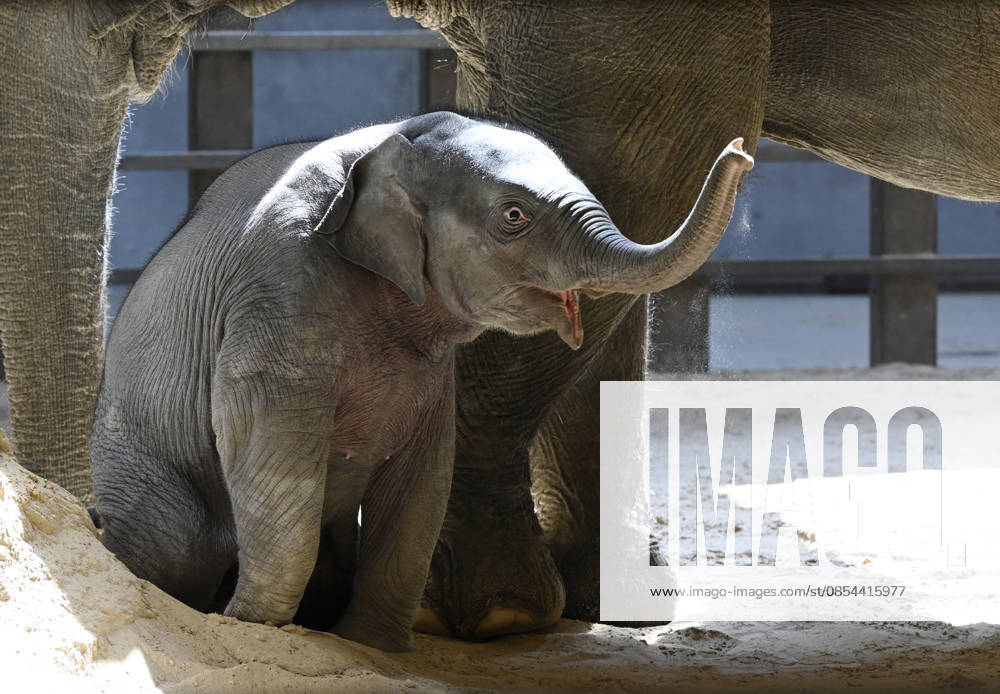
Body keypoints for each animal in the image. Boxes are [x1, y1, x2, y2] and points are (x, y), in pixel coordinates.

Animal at [90, 111, 752, 651]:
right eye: (514, 217)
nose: (742, 151)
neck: (386, 142)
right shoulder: (277, 295)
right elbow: (271, 450)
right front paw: (251, 626)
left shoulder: (427, 372)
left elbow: (422, 480)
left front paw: (370, 649)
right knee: (175, 544)